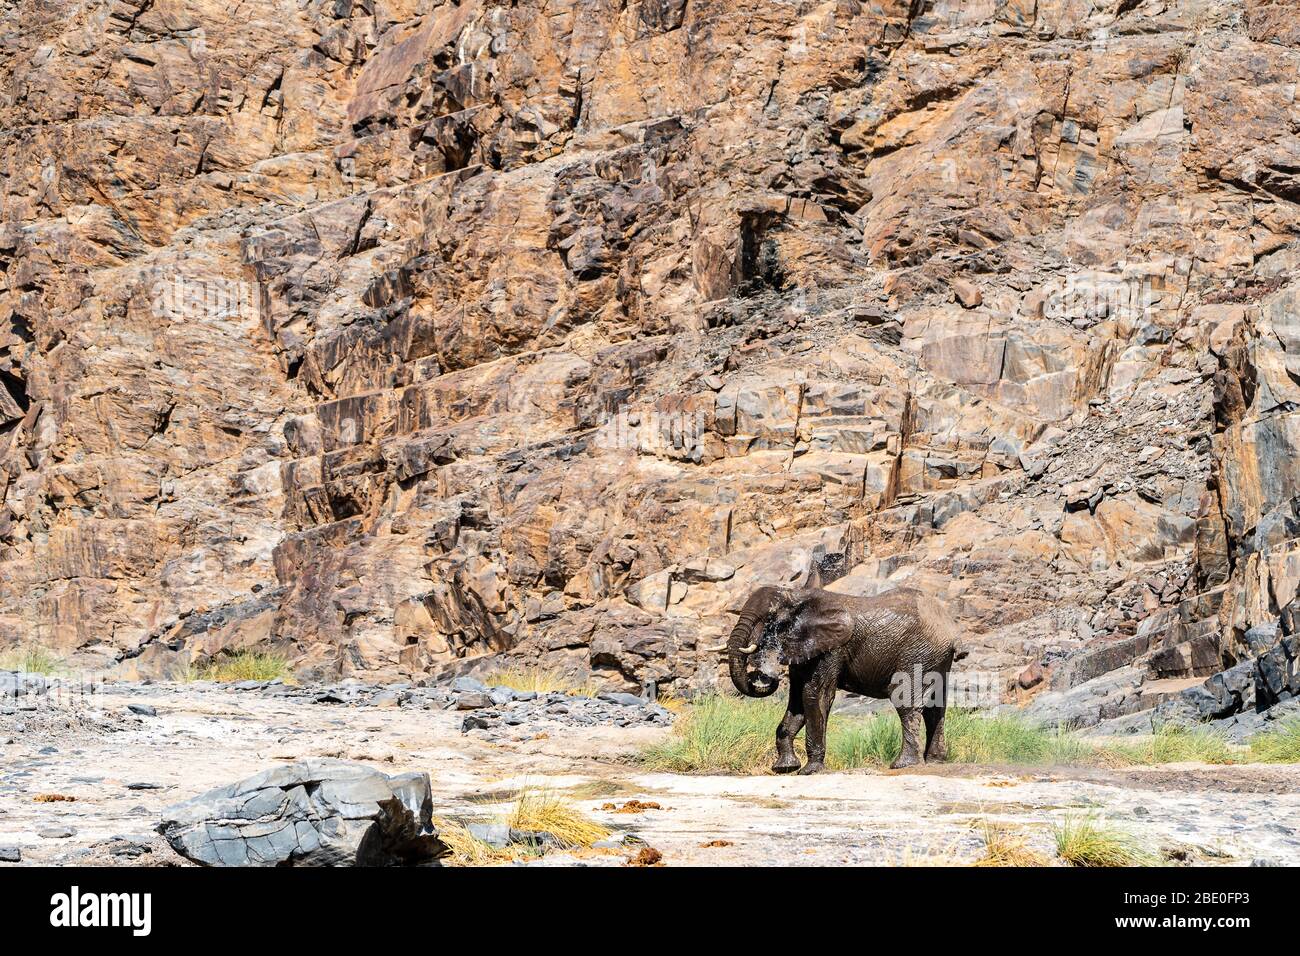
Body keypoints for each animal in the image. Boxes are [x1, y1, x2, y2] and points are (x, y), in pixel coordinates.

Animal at [728, 582, 961, 780]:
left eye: (768, 620)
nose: (762, 676)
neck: (796, 595)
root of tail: (950, 628)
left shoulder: (832, 650)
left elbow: (814, 694)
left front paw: (809, 771)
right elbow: (796, 702)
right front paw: (784, 768)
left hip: (918, 653)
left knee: (905, 701)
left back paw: (903, 764)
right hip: (936, 659)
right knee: (935, 707)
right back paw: (935, 761)